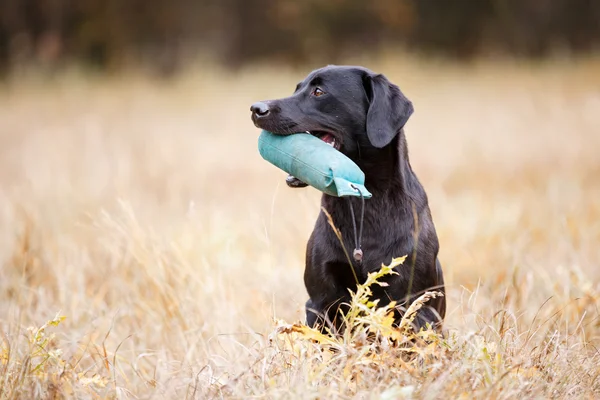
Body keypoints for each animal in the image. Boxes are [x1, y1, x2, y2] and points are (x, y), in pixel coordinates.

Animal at [250, 65, 446, 332]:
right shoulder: (320, 301)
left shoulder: (417, 305)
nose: (256, 109)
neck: (364, 202)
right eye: (297, 88)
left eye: (318, 91)